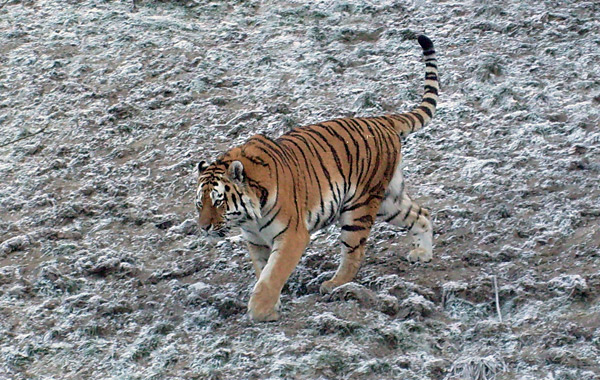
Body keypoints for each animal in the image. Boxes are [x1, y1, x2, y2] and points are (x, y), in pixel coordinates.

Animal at [195, 35, 438, 320]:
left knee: (354, 253)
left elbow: (272, 275)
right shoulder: (255, 242)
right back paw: (423, 253)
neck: (249, 217)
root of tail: (381, 120)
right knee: (421, 213)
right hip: (389, 201)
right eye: (200, 204)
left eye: (219, 201)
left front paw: (261, 311)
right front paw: (270, 305)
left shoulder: (292, 236)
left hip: (359, 207)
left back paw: (334, 284)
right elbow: (262, 272)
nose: (204, 227)